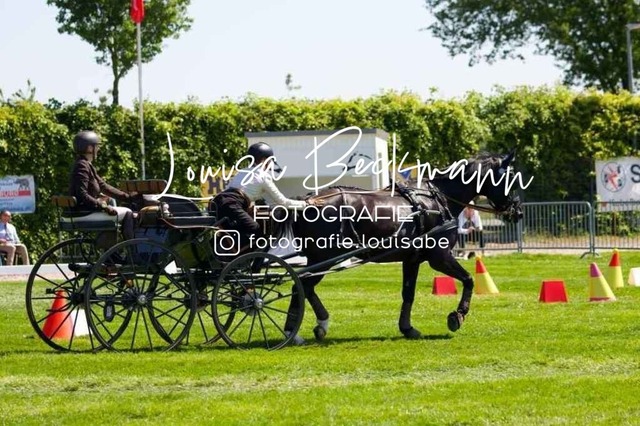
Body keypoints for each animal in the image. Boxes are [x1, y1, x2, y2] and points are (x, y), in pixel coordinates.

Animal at [278, 152, 523, 342]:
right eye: (511, 178)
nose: (518, 211)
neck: (438, 200)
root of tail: (305, 202)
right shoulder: (439, 257)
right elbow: (469, 279)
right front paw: (458, 316)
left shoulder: (412, 260)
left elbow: (408, 293)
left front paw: (407, 328)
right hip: (325, 257)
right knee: (302, 284)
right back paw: (294, 331)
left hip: (319, 258)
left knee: (304, 286)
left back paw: (318, 325)